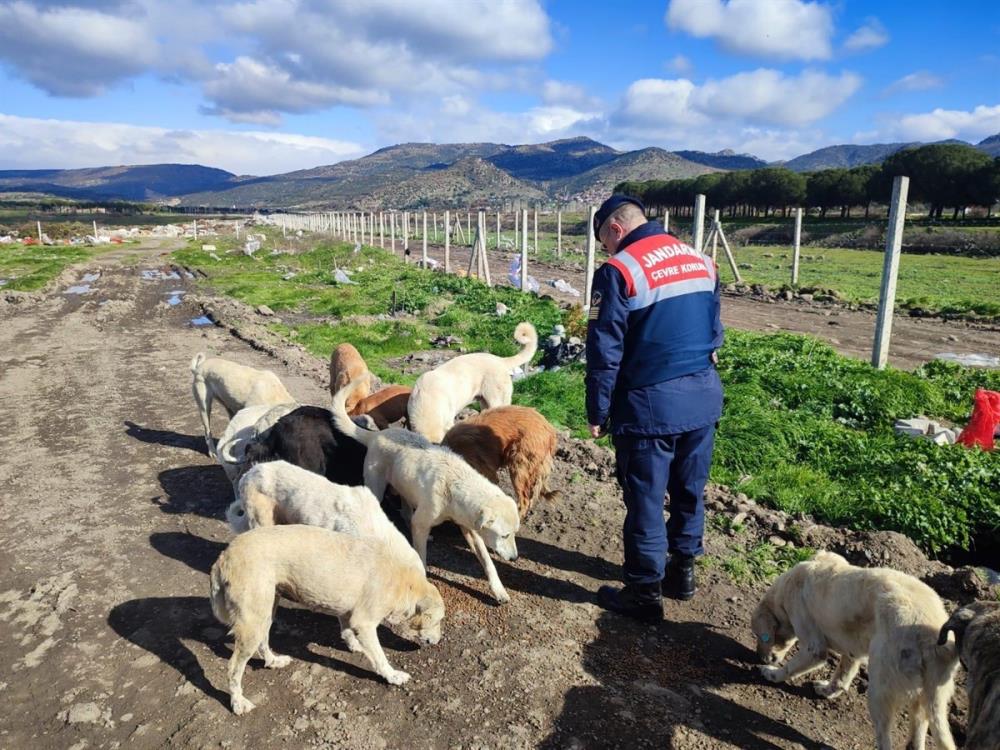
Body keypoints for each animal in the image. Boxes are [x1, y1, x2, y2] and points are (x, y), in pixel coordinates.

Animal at [209, 524, 444, 712]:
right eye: (438, 621)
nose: (438, 642)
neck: (403, 581)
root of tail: (223, 556)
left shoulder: (348, 611)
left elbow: (346, 630)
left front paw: (354, 645)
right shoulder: (365, 622)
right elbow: (379, 658)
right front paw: (392, 676)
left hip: (266, 611)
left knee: (264, 641)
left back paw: (273, 661)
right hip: (253, 622)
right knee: (233, 668)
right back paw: (238, 702)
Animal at [336, 376, 524, 604]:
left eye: (514, 534)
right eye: (505, 535)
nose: (514, 558)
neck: (454, 485)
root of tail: (378, 434)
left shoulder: (470, 528)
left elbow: (488, 562)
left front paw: (499, 590)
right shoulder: (425, 523)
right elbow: (422, 558)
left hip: (405, 483)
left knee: (407, 510)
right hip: (377, 487)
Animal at [752, 552, 960, 750]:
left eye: (760, 636)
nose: (761, 658)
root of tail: (934, 643)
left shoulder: (813, 644)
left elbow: (795, 665)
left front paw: (772, 673)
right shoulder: (853, 648)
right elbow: (843, 674)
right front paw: (827, 690)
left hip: (880, 685)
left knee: (885, 737)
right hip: (927, 695)